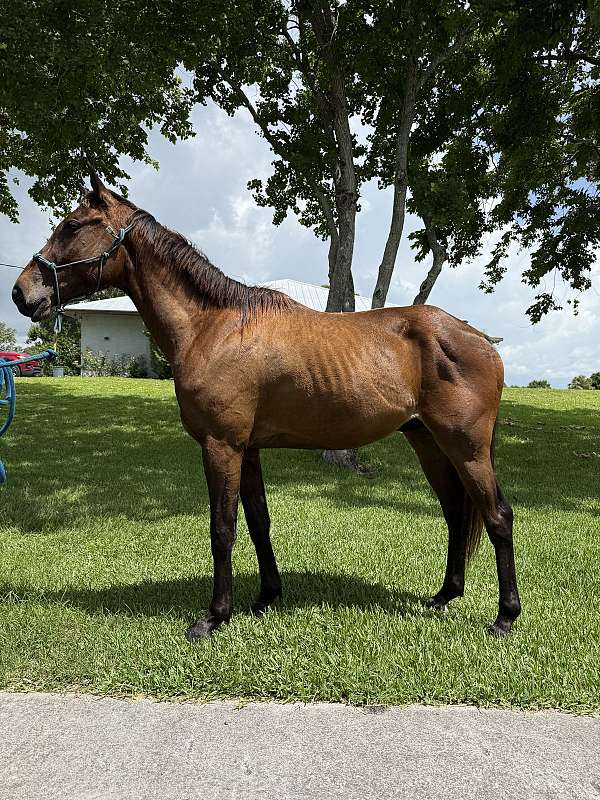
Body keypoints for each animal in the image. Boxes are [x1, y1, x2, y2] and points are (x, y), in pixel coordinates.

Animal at [12, 173, 521, 640]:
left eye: (72, 226)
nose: (21, 292)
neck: (212, 327)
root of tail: (479, 339)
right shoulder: (248, 449)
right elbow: (259, 522)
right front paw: (265, 598)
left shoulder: (221, 446)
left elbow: (222, 529)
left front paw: (213, 617)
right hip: (428, 442)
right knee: (456, 512)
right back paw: (444, 596)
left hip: (466, 447)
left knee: (497, 516)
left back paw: (504, 617)